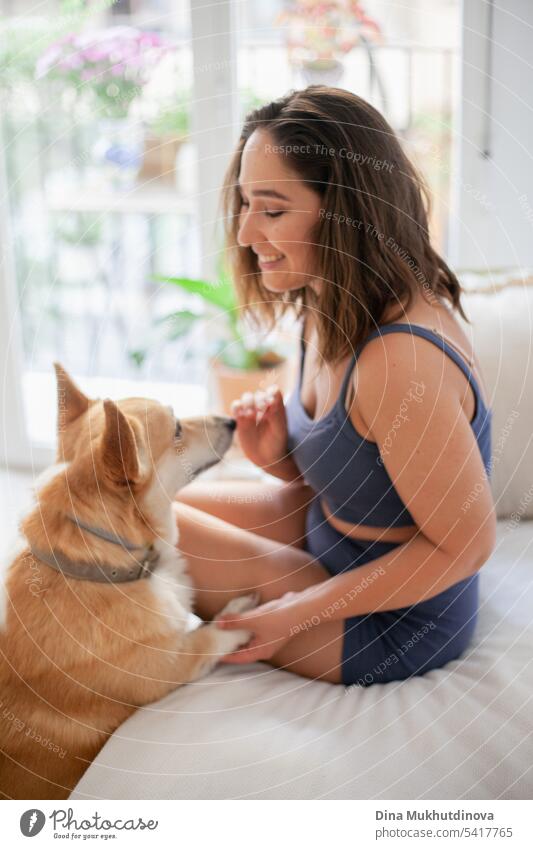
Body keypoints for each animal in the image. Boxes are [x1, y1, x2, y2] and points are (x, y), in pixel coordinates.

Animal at [0, 362, 258, 796]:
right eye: (176, 429)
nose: (232, 420)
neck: (104, 565)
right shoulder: (173, 666)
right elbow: (207, 638)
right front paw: (236, 619)